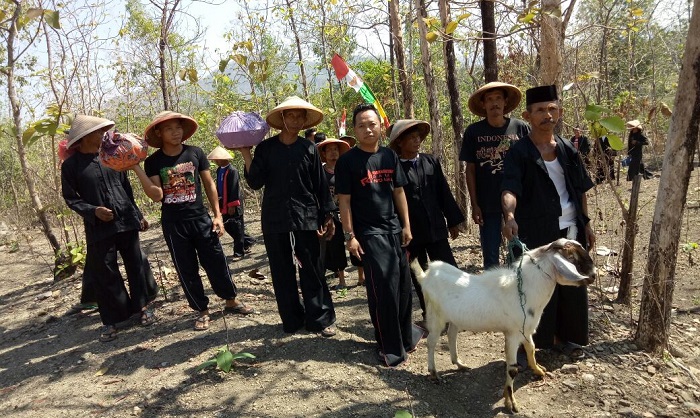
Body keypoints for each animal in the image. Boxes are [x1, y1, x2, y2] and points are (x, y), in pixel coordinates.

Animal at [410, 237, 596, 414]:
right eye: (571, 256)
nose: (593, 275)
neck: (524, 290)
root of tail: (426, 275)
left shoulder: (525, 330)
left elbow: (531, 349)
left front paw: (539, 370)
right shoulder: (513, 334)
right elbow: (513, 369)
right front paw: (510, 403)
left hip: (455, 318)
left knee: (451, 335)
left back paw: (460, 364)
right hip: (435, 316)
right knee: (431, 342)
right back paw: (434, 373)